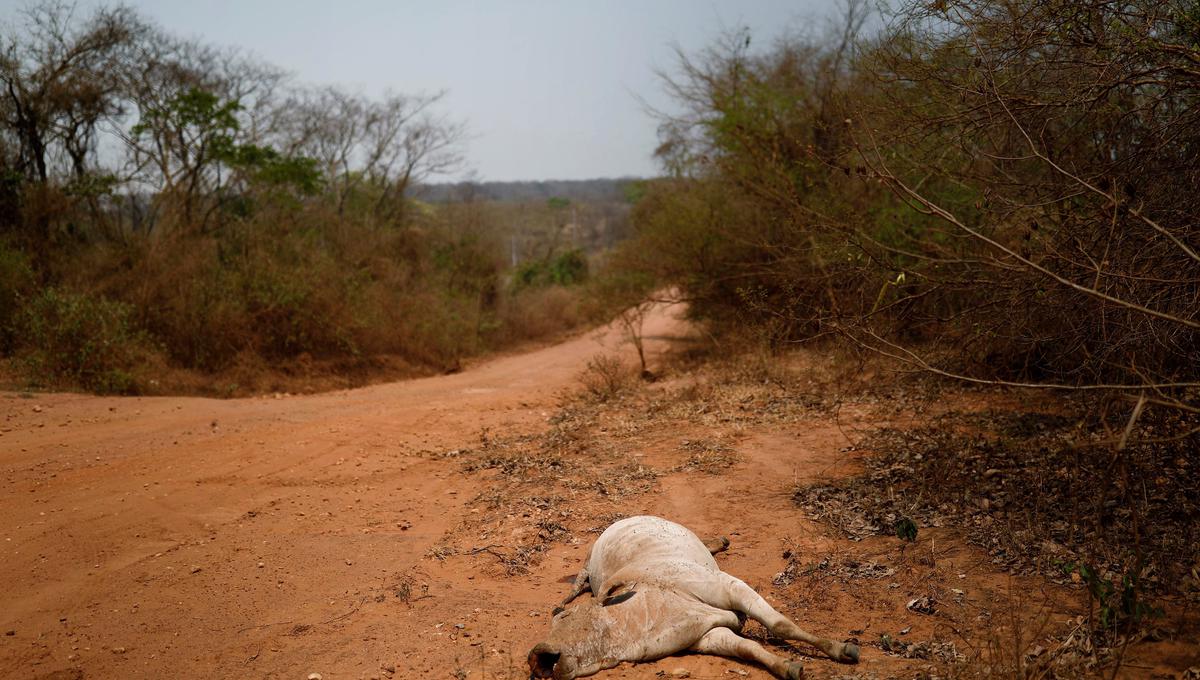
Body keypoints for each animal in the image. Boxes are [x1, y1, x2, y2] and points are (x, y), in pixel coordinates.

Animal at [530, 515, 859, 680]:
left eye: (566, 617)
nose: (536, 658)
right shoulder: (706, 636)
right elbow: (749, 648)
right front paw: (786, 666)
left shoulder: (730, 588)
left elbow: (781, 625)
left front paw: (841, 648)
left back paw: (721, 541)